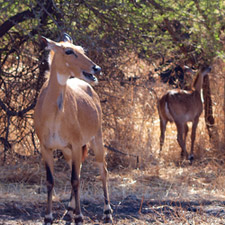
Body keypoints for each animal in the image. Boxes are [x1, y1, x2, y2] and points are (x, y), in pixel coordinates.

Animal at [33, 33, 112, 225]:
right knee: (79, 172)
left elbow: (74, 180)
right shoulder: (47, 147)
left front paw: (79, 216)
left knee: (103, 171)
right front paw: (48, 217)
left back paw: (107, 213)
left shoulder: (76, 144)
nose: (96, 68)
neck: (54, 114)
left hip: (96, 138)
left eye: (82, 49)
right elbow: (50, 180)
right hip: (67, 151)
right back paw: (68, 212)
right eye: (68, 51)